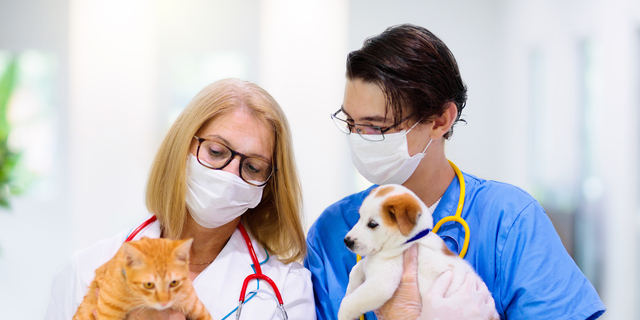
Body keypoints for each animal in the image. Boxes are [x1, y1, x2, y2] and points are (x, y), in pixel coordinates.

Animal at [338, 185, 498, 320]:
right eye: (359, 217)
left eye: (372, 224)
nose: (346, 241)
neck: (408, 241)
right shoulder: (369, 264)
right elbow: (356, 269)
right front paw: (351, 288)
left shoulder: (381, 283)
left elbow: (350, 303)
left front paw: (343, 314)